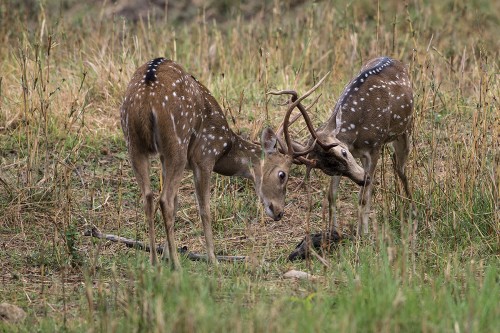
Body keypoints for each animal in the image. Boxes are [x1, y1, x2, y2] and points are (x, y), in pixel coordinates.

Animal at [120, 57, 294, 270]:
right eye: (282, 174)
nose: (279, 212)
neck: (225, 147)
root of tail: (147, 96)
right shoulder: (204, 157)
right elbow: (204, 209)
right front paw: (212, 258)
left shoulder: (163, 158)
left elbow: (178, 202)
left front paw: (166, 255)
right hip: (177, 143)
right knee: (164, 199)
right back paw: (177, 265)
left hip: (134, 142)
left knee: (148, 196)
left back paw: (154, 261)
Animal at [270, 57, 414, 239]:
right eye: (329, 169)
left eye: (343, 152)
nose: (363, 179)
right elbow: (332, 195)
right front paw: (334, 232)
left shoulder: (374, 147)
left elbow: (363, 198)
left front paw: (362, 235)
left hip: (405, 130)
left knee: (400, 168)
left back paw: (411, 206)